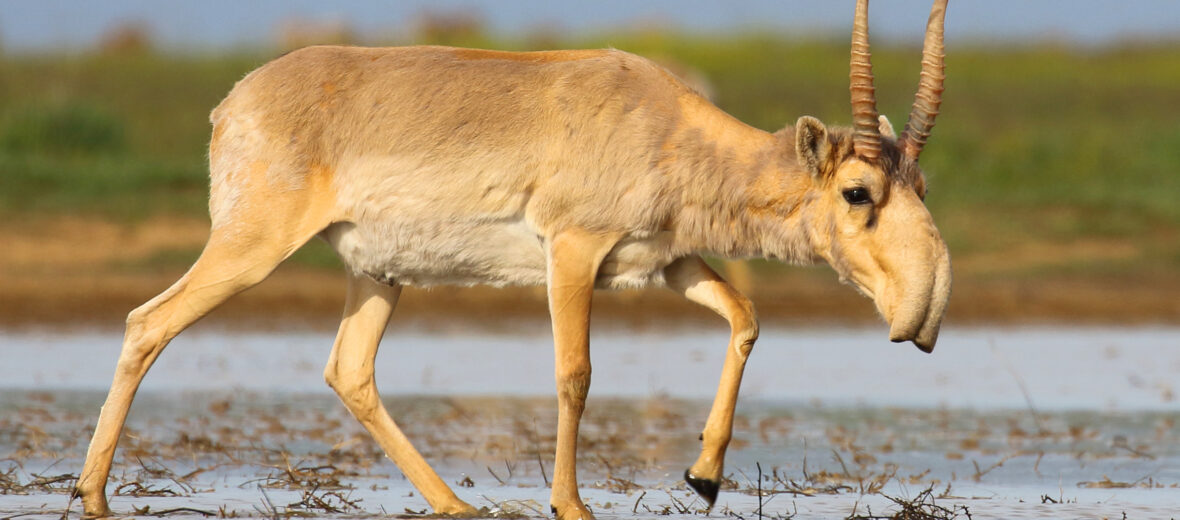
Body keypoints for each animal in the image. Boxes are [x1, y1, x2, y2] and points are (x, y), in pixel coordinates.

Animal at [76, 2, 948, 516]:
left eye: (921, 182)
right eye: (859, 192)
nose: (926, 310)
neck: (664, 123)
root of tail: (234, 103)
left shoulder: (663, 263)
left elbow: (746, 315)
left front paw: (703, 476)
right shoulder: (573, 253)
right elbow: (575, 374)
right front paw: (573, 504)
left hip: (377, 276)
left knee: (349, 370)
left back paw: (458, 506)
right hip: (250, 247)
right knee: (147, 322)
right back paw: (90, 491)